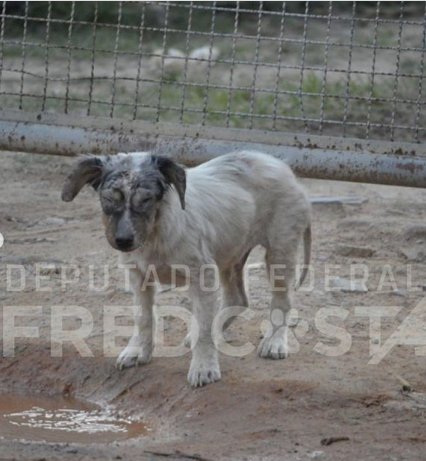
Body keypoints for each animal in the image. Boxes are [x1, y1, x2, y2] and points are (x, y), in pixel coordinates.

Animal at [61, 150, 312, 384]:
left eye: (146, 200)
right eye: (109, 199)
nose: (123, 241)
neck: (156, 233)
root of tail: (282, 167)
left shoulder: (202, 274)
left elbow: (203, 328)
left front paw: (203, 368)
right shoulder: (138, 273)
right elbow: (143, 317)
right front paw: (137, 351)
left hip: (280, 249)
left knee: (281, 300)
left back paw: (275, 343)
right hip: (230, 253)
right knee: (237, 299)